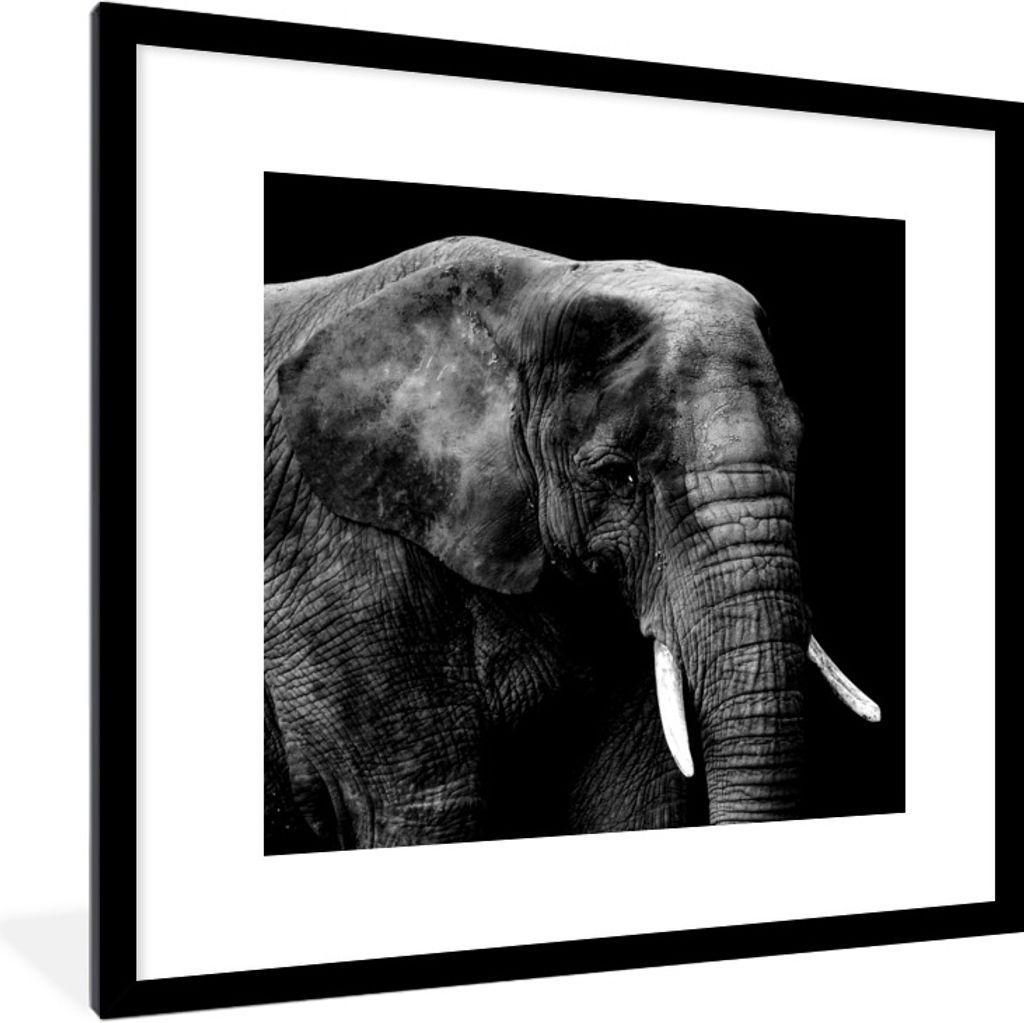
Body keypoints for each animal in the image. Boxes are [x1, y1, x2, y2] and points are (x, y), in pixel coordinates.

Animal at [264, 235, 879, 852]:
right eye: (618, 476)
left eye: (798, 454)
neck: (529, 293)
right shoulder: (337, 563)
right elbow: (421, 807)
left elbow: (632, 801)